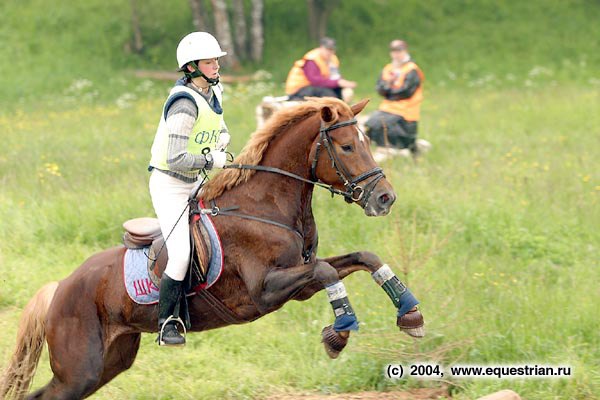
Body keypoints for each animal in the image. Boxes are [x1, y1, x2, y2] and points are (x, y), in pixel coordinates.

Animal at [0, 97, 424, 400]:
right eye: (349, 146)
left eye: (367, 142)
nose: (385, 198)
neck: (266, 205)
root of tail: (59, 288)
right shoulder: (265, 290)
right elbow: (328, 270)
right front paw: (340, 333)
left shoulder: (299, 283)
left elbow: (363, 258)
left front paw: (410, 313)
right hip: (80, 369)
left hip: (109, 362)